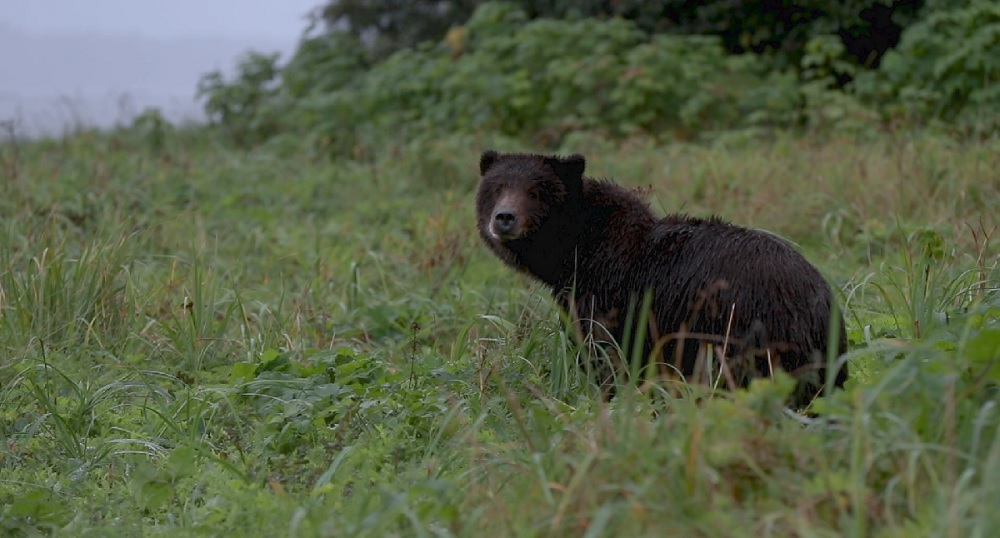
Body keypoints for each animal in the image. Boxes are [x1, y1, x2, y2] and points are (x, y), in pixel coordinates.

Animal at [474, 149, 844, 404]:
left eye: (534, 192)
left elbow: (605, 354)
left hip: (748, 332)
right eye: (497, 188)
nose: (504, 218)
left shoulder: (608, 295)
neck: (574, 251)